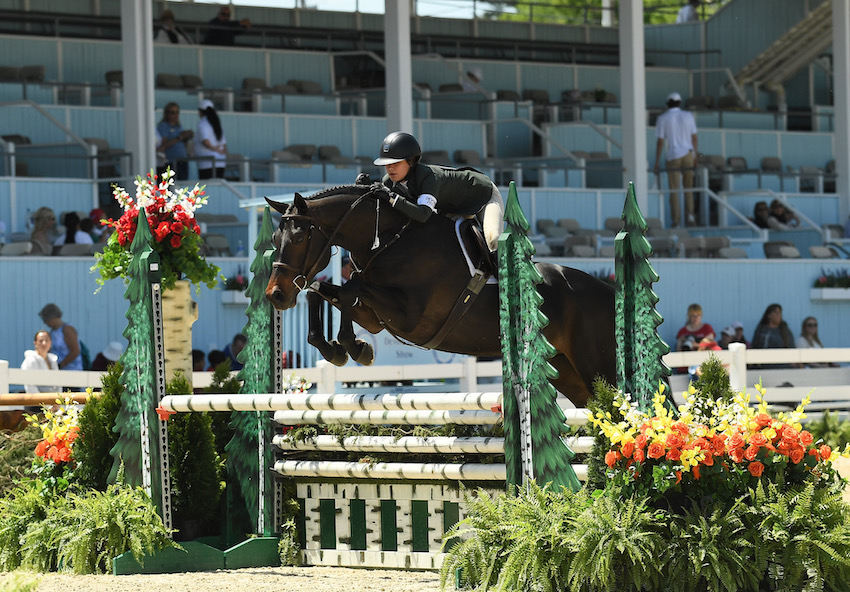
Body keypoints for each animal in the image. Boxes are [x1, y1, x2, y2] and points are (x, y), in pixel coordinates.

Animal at [262, 185, 612, 408]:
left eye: (298, 238)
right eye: (274, 238)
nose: (275, 295)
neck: (388, 240)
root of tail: (607, 290)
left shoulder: (412, 318)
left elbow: (349, 290)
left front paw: (355, 348)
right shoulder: (375, 317)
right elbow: (322, 292)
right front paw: (340, 349)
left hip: (595, 366)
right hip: (565, 369)